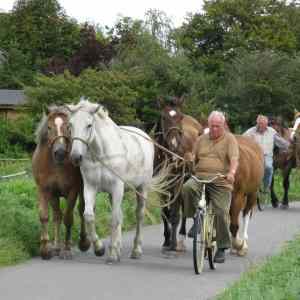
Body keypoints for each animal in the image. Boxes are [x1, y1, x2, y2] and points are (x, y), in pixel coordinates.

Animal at [32, 106, 90, 258]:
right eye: (49, 127)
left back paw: (83, 243)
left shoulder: (73, 191)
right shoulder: (45, 190)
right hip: (54, 195)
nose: (60, 152)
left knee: (81, 210)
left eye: (68, 127)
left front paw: (67, 249)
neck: (56, 165)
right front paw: (45, 249)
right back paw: (57, 247)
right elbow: (45, 216)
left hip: (82, 190)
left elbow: (68, 218)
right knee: (57, 215)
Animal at [67, 98, 168, 262]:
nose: (76, 157)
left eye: (89, 125)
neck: (101, 155)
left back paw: (136, 250)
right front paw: (100, 248)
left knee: (139, 215)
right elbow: (89, 216)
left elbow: (114, 219)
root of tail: (145, 137)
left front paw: (112, 254)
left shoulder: (117, 187)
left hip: (142, 188)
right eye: (70, 125)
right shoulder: (90, 187)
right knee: (120, 214)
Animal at [155, 95, 204, 251]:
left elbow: (175, 215)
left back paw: (182, 236)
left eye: (180, 117)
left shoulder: (177, 184)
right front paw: (166, 239)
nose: (174, 144)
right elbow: (165, 213)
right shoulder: (160, 186)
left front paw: (173, 243)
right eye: (163, 117)